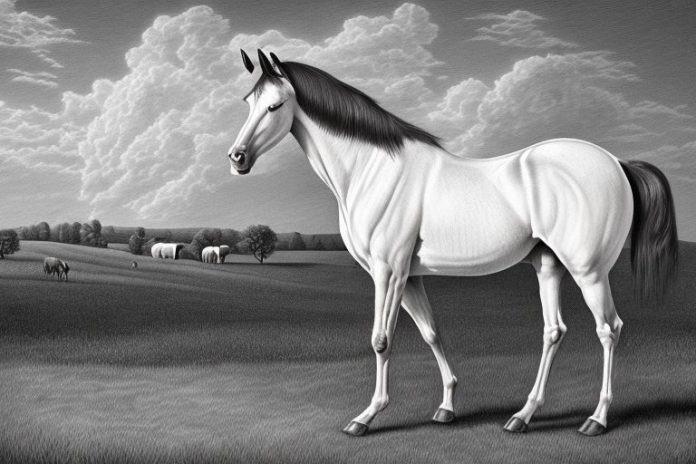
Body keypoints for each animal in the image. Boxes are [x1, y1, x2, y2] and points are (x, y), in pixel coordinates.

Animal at [227, 49, 678, 437]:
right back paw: (523, 415)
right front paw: (446, 408)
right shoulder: (409, 276)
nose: (237, 158)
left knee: (608, 329)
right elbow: (431, 333)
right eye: (249, 102)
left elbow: (381, 340)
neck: (373, 170)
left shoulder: (387, 272)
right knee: (554, 331)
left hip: (589, 271)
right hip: (548, 265)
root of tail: (616, 163)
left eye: (275, 106)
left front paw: (366, 416)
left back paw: (596, 419)